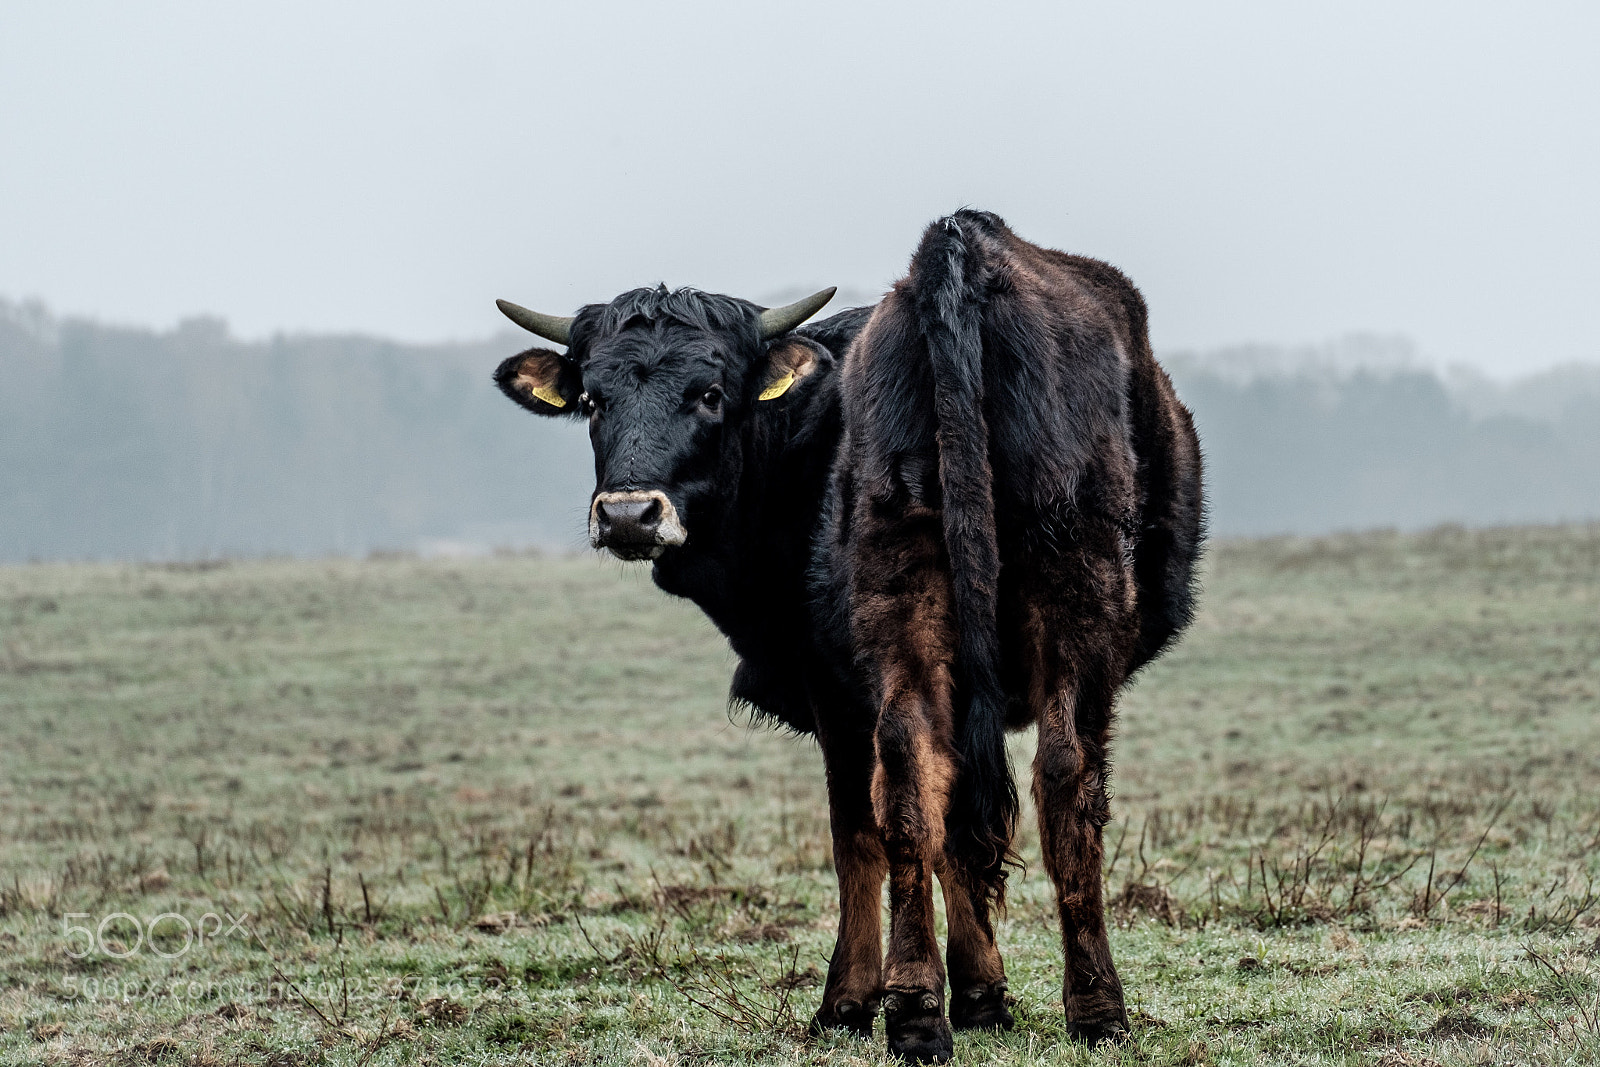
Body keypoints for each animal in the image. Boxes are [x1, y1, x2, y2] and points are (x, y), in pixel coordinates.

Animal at [493, 209, 1204, 1062]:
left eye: (709, 393)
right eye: (595, 400)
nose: (629, 513)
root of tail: (960, 253)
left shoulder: (826, 679)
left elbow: (885, 828)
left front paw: (911, 997)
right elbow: (928, 825)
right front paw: (972, 994)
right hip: (1036, 609)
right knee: (1026, 781)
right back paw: (1019, 1011)